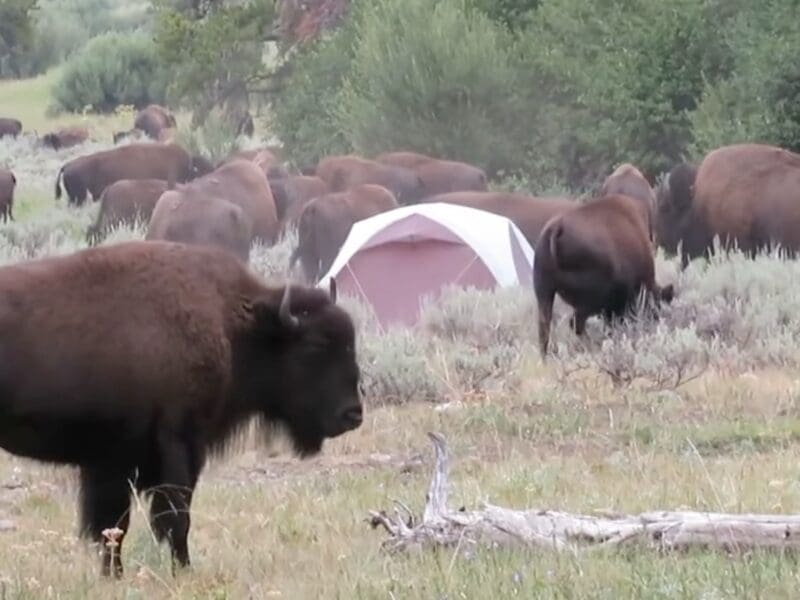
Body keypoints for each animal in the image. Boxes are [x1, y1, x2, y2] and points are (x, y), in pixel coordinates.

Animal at [0, 240, 362, 576]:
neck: (232, 323)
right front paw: (182, 571)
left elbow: (113, 525)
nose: (353, 414)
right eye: (315, 346)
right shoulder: (178, 445)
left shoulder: (112, 462)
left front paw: (114, 576)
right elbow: (173, 517)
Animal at [534, 193, 674, 356]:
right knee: (575, 323)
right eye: (654, 308)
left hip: (544, 293)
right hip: (588, 301)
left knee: (545, 328)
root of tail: (557, 228)